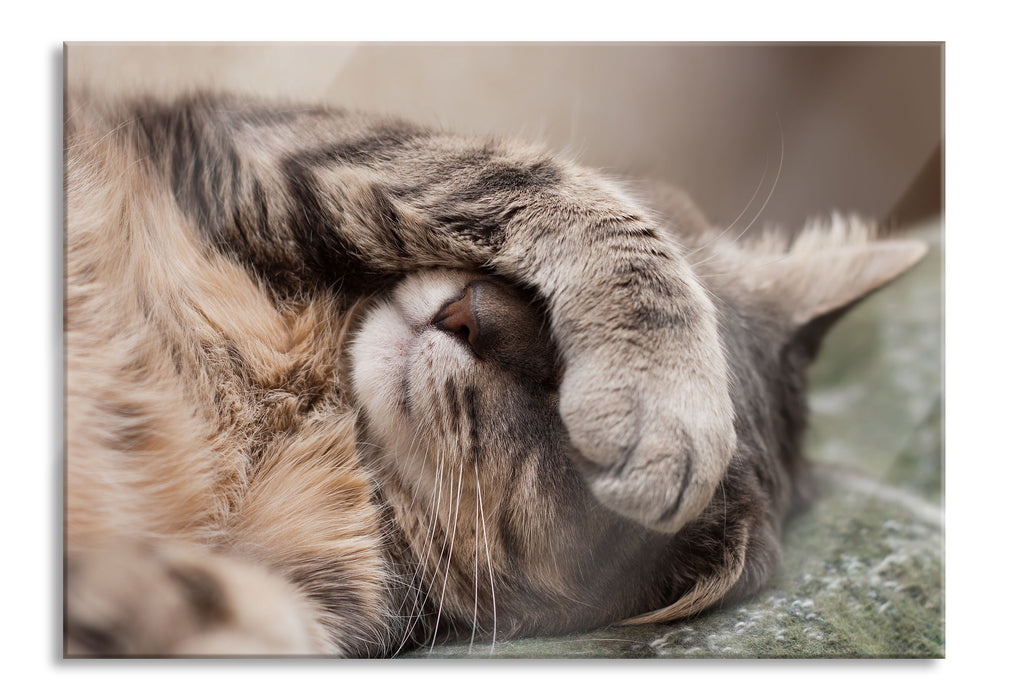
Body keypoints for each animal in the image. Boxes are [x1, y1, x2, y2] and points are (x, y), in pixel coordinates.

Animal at [63, 93, 924, 657]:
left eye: (563, 438)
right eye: (534, 297)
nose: (471, 315)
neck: (317, 400)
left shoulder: (315, 595)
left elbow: (241, 616)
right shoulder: (273, 134)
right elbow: (549, 184)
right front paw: (674, 397)